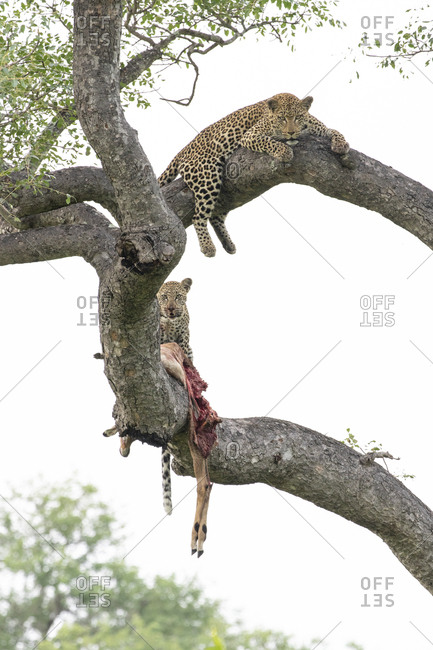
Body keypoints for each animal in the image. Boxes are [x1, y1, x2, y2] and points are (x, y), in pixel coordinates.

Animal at [158, 92, 350, 258]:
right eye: (282, 118)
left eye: (297, 117)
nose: (290, 133)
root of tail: (182, 151)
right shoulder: (250, 135)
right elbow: (269, 141)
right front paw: (284, 151)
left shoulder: (320, 128)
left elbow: (334, 130)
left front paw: (342, 144)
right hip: (208, 176)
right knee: (199, 216)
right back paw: (207, 246)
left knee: (215, 216)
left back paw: (227, 243)